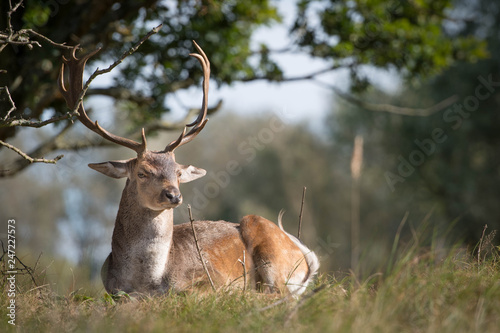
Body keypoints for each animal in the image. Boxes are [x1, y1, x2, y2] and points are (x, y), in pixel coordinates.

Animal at [57, 40, 316, 294]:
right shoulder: (113, 292)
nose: (173, 195)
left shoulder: (213, 279)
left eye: (178, 173)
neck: (148, 282)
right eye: (142, 173)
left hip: (267, 247)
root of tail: (305, 258)